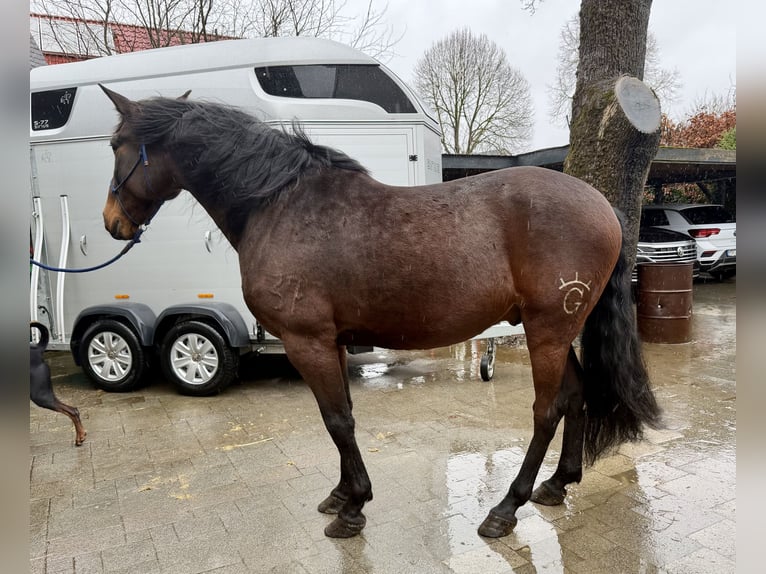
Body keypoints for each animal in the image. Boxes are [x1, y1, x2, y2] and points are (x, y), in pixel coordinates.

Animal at [98, 85, 661, 539]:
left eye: (115, 146)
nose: (111, 222)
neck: (280, 204)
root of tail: (601, 205)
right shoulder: (331, 341)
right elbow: (341, 415)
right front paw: (342, 495)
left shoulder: (307, 341)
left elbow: (337, 420)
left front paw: (353, 510)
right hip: (556, 330)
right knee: (577, 396)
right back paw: (558, 484)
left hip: (548, 330)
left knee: (547, 411)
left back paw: (506, 509)